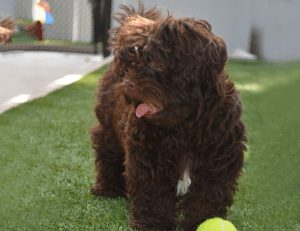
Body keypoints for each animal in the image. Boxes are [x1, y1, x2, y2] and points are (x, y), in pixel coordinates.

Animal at [91, 3, 246, 231]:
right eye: (136, 62)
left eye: (157, 64)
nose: (128, 84)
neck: (185, 122)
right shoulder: (149, 153)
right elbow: (154, 191)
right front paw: (153, 223)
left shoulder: (219, 155)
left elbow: (208, 193)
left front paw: (200, 221)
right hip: (108, 125)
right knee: (107, 152)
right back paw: (107, 188)